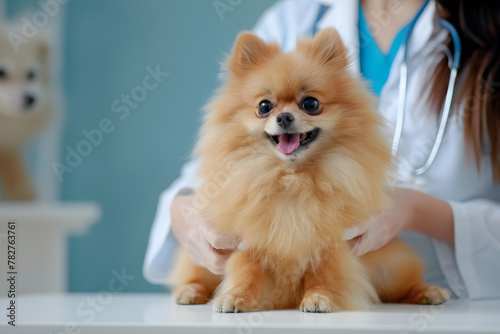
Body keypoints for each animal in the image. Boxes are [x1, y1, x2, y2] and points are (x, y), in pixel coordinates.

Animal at [171, 29, 450, 314]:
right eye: (264, 107)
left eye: (311, 103)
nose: (283, 117)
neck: (292, 179)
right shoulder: (246, 239)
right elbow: (246, 270)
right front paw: (235, 297)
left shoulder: (332, 241)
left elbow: (324, 272)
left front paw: (319, 298)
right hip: (201, 262)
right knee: (196, 276)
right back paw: (190, 292)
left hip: (391, 267)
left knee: (404, 284)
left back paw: (428, 291)